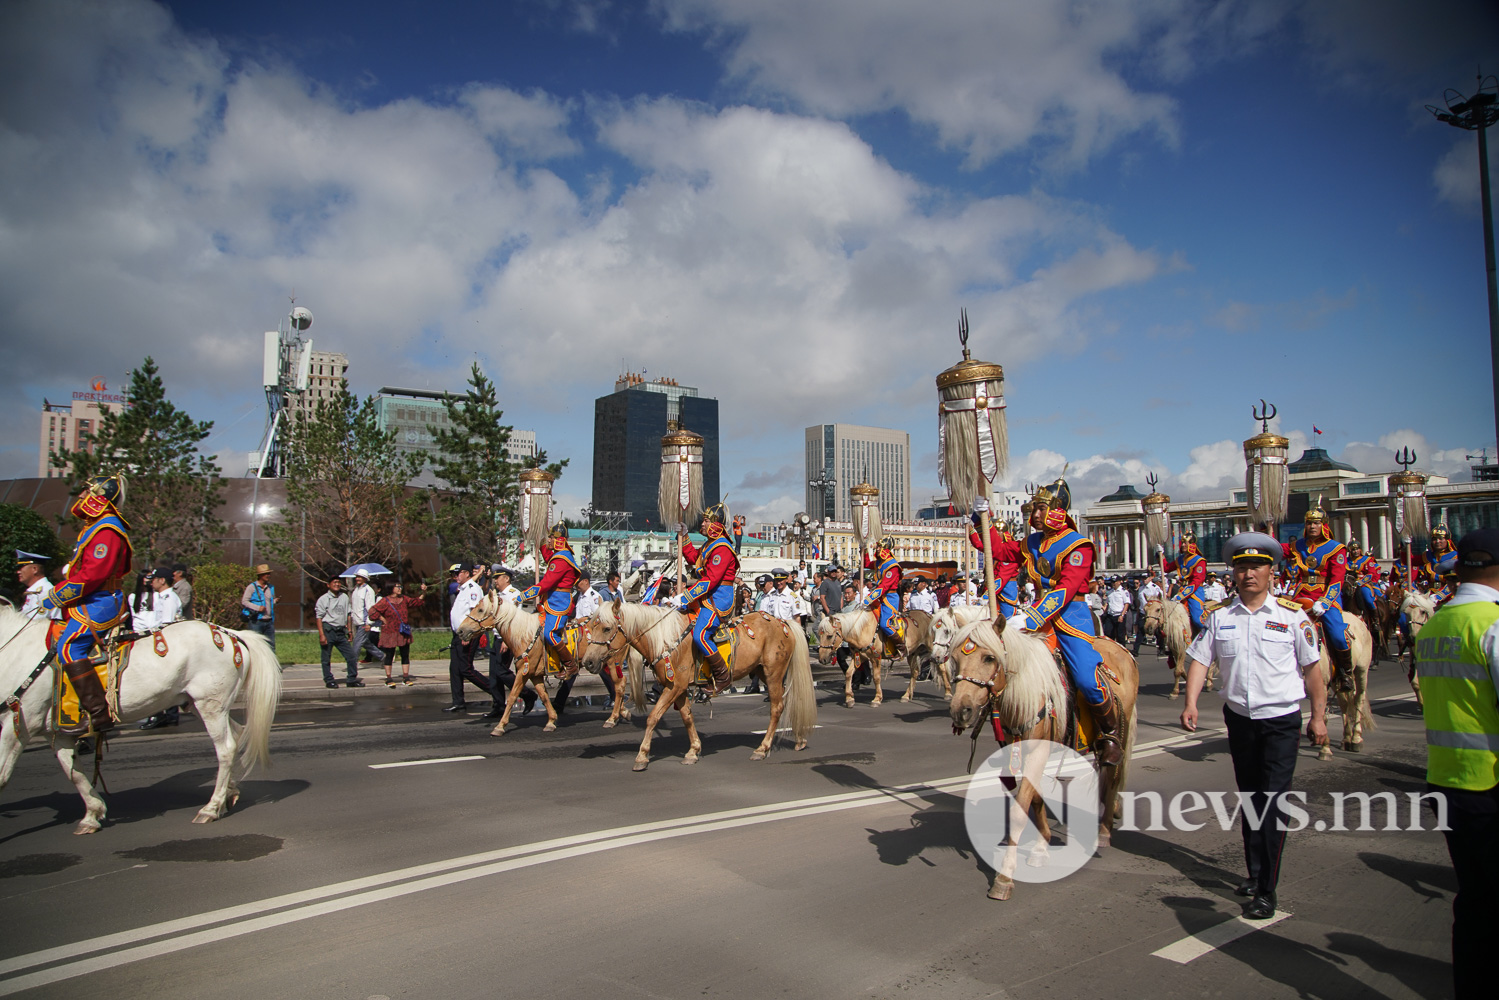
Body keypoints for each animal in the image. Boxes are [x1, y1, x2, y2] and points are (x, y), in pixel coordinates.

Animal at [0, 611, 281, 839]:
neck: (15, 652)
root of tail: (230, 634)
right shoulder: (59, 732)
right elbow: (74, 772)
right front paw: (92, 813)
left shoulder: (18, 727)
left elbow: (3, 776)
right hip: (203, 705)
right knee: (237, 735)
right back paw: (228, 794)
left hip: (210, 705)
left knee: (226, 749)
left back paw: (211, 807)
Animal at [455, 593, 644, 734]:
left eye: (480, 609)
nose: (460, 631)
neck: (523, 634)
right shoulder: (535, 674)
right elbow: (544, 696)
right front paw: (551, 720)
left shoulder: (523, 672)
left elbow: (513, 696)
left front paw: (500, 726)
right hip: (601, 662)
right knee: (618, 684)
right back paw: (622, 712)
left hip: (613, 661)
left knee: (619, 685)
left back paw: (612, 718)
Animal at [581, 599, 815, 773]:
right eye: (590, 626)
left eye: (607, 628)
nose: (588, 662)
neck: (665, 639)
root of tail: (783, 622)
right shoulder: (679, 688)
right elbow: (687, 717)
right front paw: (693, 750)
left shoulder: (673, 687)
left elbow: (653, 718)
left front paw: (642, 756)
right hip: (762, 672)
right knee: (791, 701)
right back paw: (800, 738)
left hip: (773, 673)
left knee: (777, 708)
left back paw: (762, 748)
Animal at [947, 620, 1133, 905]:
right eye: (955, 658)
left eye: (989, 658)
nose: (961, 711)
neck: (1025, 694)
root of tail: (1119, 647)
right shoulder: (1022, 752)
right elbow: (1034, 799)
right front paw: (1042, 845)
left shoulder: (1038, 752)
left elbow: (1019, 810)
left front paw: (1004, 878)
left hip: (1122, 731)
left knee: (1112, 775)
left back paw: (1104, 829)